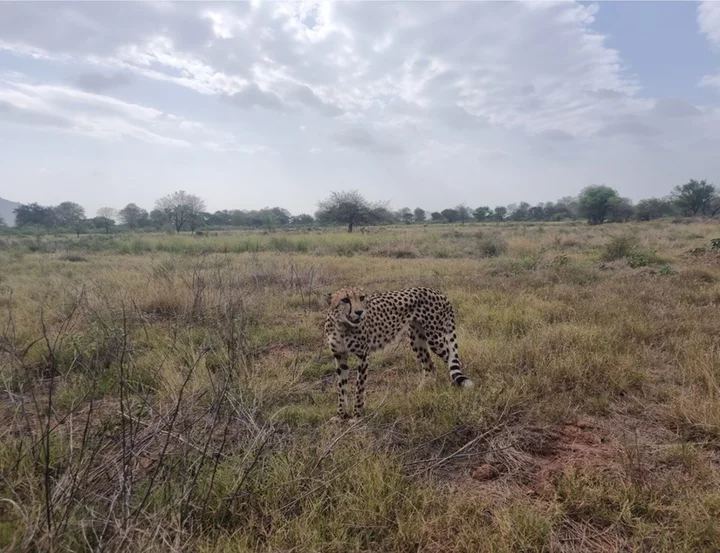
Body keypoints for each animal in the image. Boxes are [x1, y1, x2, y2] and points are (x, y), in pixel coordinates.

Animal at [324, 284, 472, 418]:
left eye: (361, 298)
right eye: (345, 300)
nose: (360, 312)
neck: (342, 326)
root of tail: (435, 291)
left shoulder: (363, 355)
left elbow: (359, 387)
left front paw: (357, 415)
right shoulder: (339, 356)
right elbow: (341, 387)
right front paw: (341, 414)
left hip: (435, 338)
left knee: (453, 359)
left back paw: (455, 386)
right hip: (417, 339)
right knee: (430, 366)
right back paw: (421, 391)